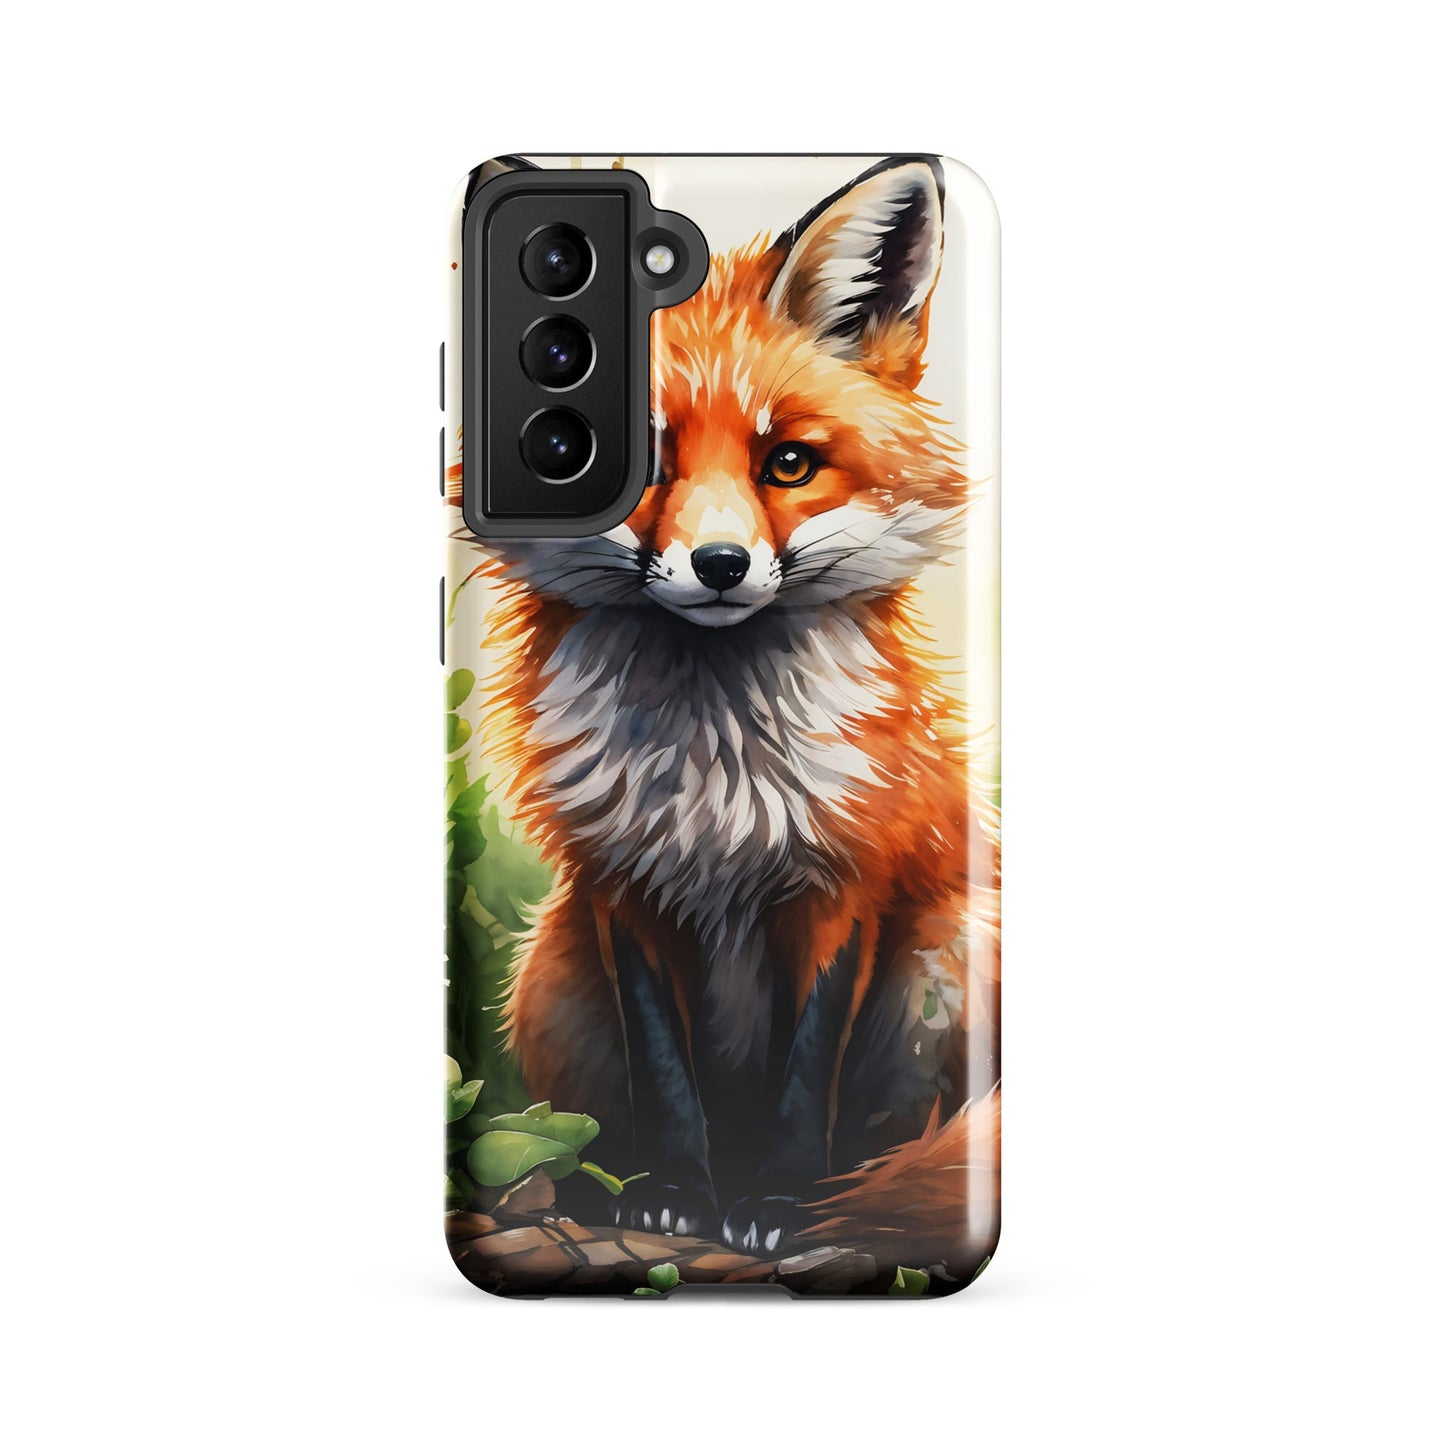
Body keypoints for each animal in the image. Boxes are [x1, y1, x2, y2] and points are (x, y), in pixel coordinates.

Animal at [452, 156, 1000, 1276]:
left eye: (787, 462)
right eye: (647, 463)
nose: (718, 564)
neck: (717, 779)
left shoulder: (845, 881)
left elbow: (805, 1075)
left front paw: (780, 1202)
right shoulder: (620, 886)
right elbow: (666, 1075)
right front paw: (672, 1195)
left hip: (951, 950)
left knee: (898, 1145)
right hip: (546, 970)